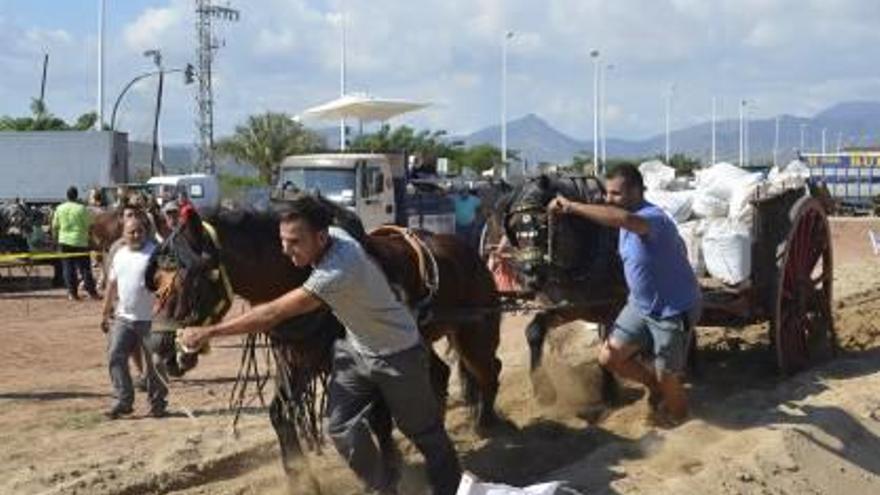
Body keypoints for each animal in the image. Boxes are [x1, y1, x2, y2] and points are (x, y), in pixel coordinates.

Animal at [148, 198, 498, 476]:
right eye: (155, 281)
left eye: (190, 280)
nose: (157, 348)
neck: (298, 273)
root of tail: (468, 250)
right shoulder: (298, 359)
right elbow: (280, 415)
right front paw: (301, 478)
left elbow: (378, 420)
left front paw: (392, 471)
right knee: (440, 374)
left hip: (474, 333)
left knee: (489, 370)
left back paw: (487, 424)